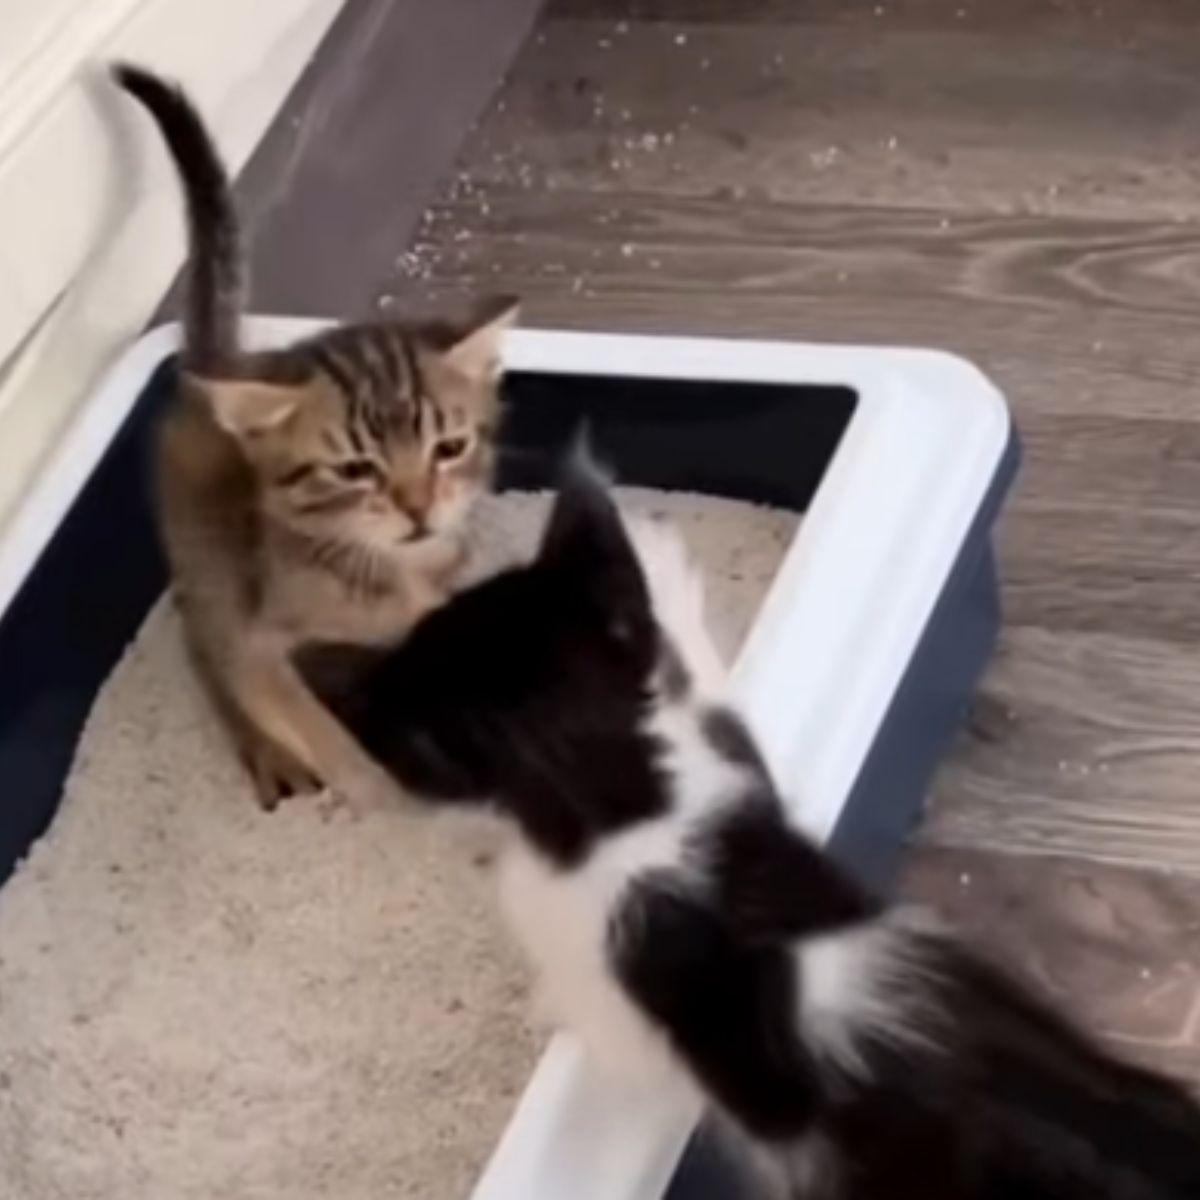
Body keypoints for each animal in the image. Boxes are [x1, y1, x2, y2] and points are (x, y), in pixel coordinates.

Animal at [113, 68, 520, 816]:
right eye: (355, 470)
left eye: (448, 449)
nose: (418, 510)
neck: (391, 573)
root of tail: (216, 367)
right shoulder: (262, 641)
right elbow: (319, 727)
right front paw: (379, 786)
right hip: (207, 573)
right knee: (203, 644)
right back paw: (267, 751)